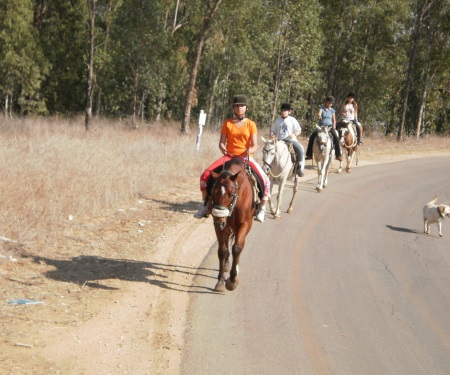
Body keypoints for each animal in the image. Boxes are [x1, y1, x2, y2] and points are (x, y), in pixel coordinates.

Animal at [209, 157, 255, 292]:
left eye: (231, 194)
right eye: (213, 192)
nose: (219, 221)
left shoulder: (245, 224)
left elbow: (237, 248)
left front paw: (232, 280)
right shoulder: (219, 225)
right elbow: (222, 250)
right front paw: (220, 281)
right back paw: (226, 264)